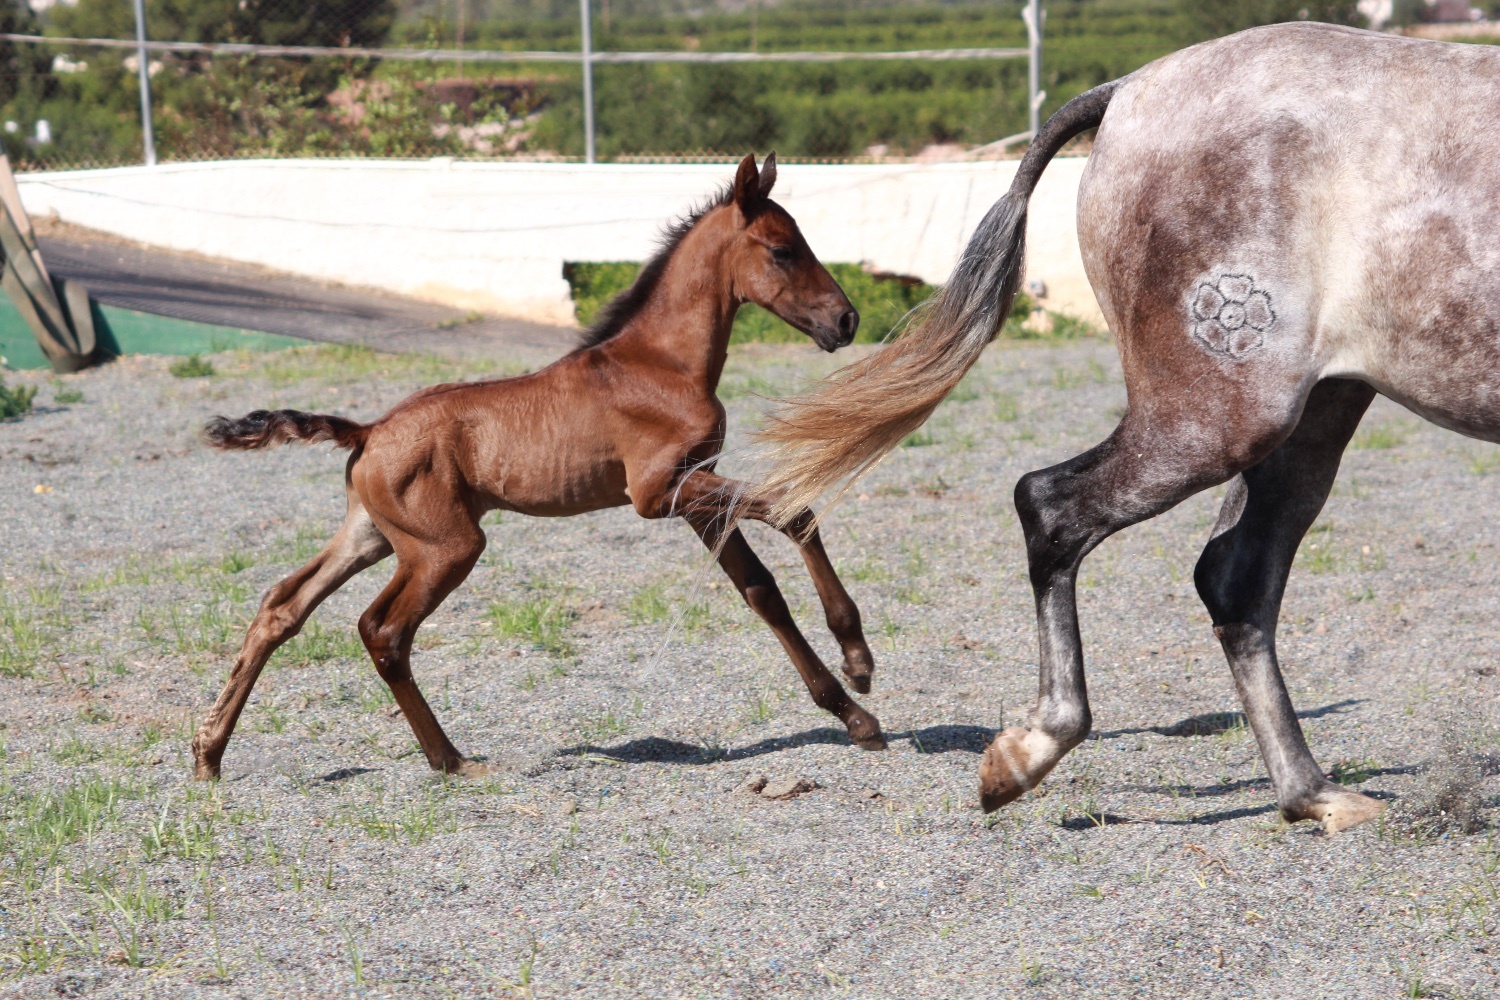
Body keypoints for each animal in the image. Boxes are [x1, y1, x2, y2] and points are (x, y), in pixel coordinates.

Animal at [190, 153, 887, 781]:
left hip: (373, 536)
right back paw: (451, 760)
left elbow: (760, 590)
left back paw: (208, 754)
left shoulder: (692, 493)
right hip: (445, 546)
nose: (847, 319)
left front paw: (853, 714)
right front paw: (858, 662)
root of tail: (367, 432)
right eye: (783, 250)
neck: (660, 362)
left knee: (283, 606)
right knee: (382, 630)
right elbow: (794, 511)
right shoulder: (658, 492)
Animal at [752, 23, 1500, 833]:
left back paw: (1314, 795)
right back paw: (1031, 749)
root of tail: (1130, 91)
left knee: (1234, 578)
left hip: (1316, 410)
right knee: (1054, 507)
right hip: (1222, 416)